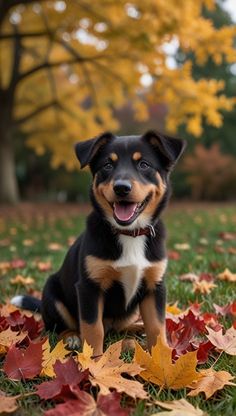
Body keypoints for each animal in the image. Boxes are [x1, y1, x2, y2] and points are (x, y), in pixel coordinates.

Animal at [11, 130, 186, 358]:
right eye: (107, 165)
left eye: (144, 164)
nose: (121, 188)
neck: (129, 234)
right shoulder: (89, 287)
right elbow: (93, 328)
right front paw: (93, 361)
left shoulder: (154, 286)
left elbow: (157, 326)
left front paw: (162, 357)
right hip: (53, 293)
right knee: (59, 328)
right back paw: (72, 338)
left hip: (130, 310)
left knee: (122, 326)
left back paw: (136, 329)